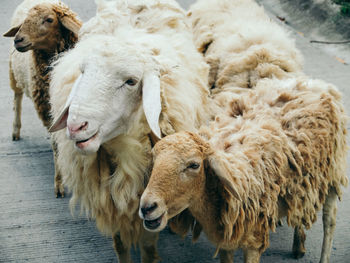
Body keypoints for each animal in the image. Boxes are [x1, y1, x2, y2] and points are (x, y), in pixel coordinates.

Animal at [3, 0, 81, 198]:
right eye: (26, 20)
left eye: (49, 19)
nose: (18, 39)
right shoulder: (48, 111)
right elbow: (56, 146)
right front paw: (59, 183)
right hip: (13, 73)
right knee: (17, 98)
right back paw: (15, 130)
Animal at [47, 0, 212, 262]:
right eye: (83, 72)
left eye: (131, 81)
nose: (75, 126)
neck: (124, 148)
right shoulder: (110, 201)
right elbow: (120, 244)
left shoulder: (147, 199)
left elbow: (148, 245)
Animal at [140, 76, 348, 263]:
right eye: (154, 159)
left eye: (194, 165)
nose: (147, 207)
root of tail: (314, 83)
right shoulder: (227, 237)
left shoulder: (254, 239)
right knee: (300, 205)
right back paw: (298, 245)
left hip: (333, 173)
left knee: (329, 221)